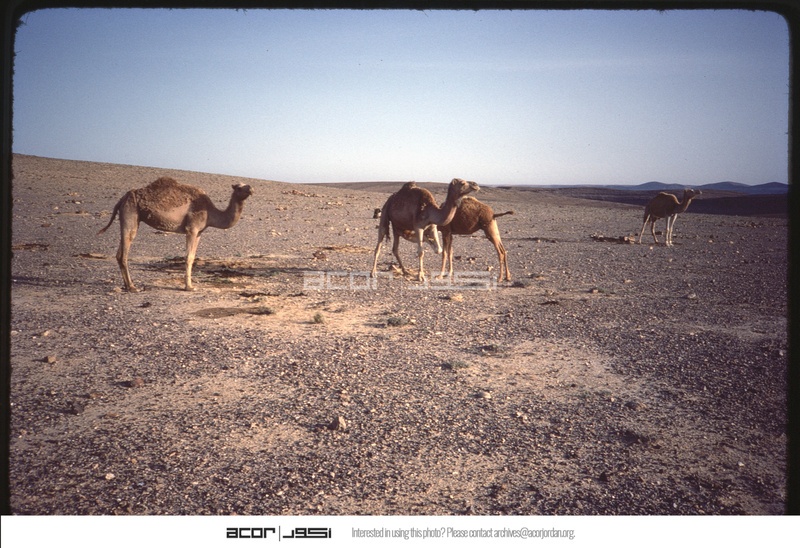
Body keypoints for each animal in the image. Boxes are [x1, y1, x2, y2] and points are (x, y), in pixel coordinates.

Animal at [98, 177, 254, 291]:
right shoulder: (192, 228)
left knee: (119, 253)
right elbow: (188, 257)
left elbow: (193, 257)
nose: (251, 188)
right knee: (125, 250)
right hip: (130, 213)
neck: (210, 212)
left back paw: (126, 286)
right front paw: (189, 287)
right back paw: (132, 287)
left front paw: (190, 285)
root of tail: (122, 199)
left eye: (246, 184)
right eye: (239, 187)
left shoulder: (199, 232)